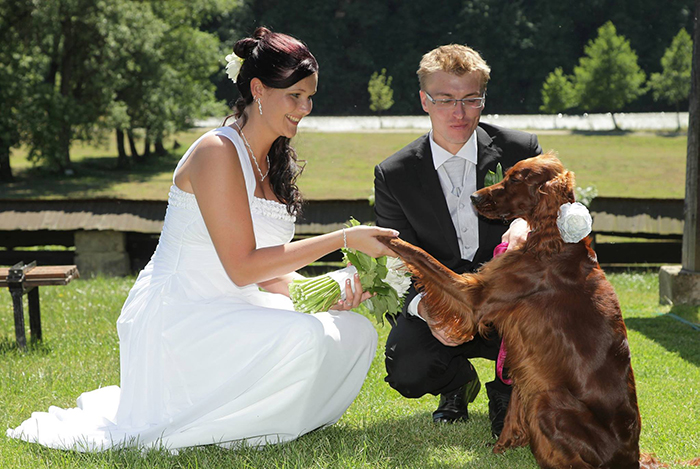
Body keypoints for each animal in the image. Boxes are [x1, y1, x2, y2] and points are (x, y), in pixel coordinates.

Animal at [380, 154, 660, 468]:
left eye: (515, 179)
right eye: (506, 173)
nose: (474, 198)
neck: (555, 242)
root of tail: (631, 457)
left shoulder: (475, 296)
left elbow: (420, 254)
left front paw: (384, 239)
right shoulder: (524, 361)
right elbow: (514, 406)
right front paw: (500, 448)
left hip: (548, 402)